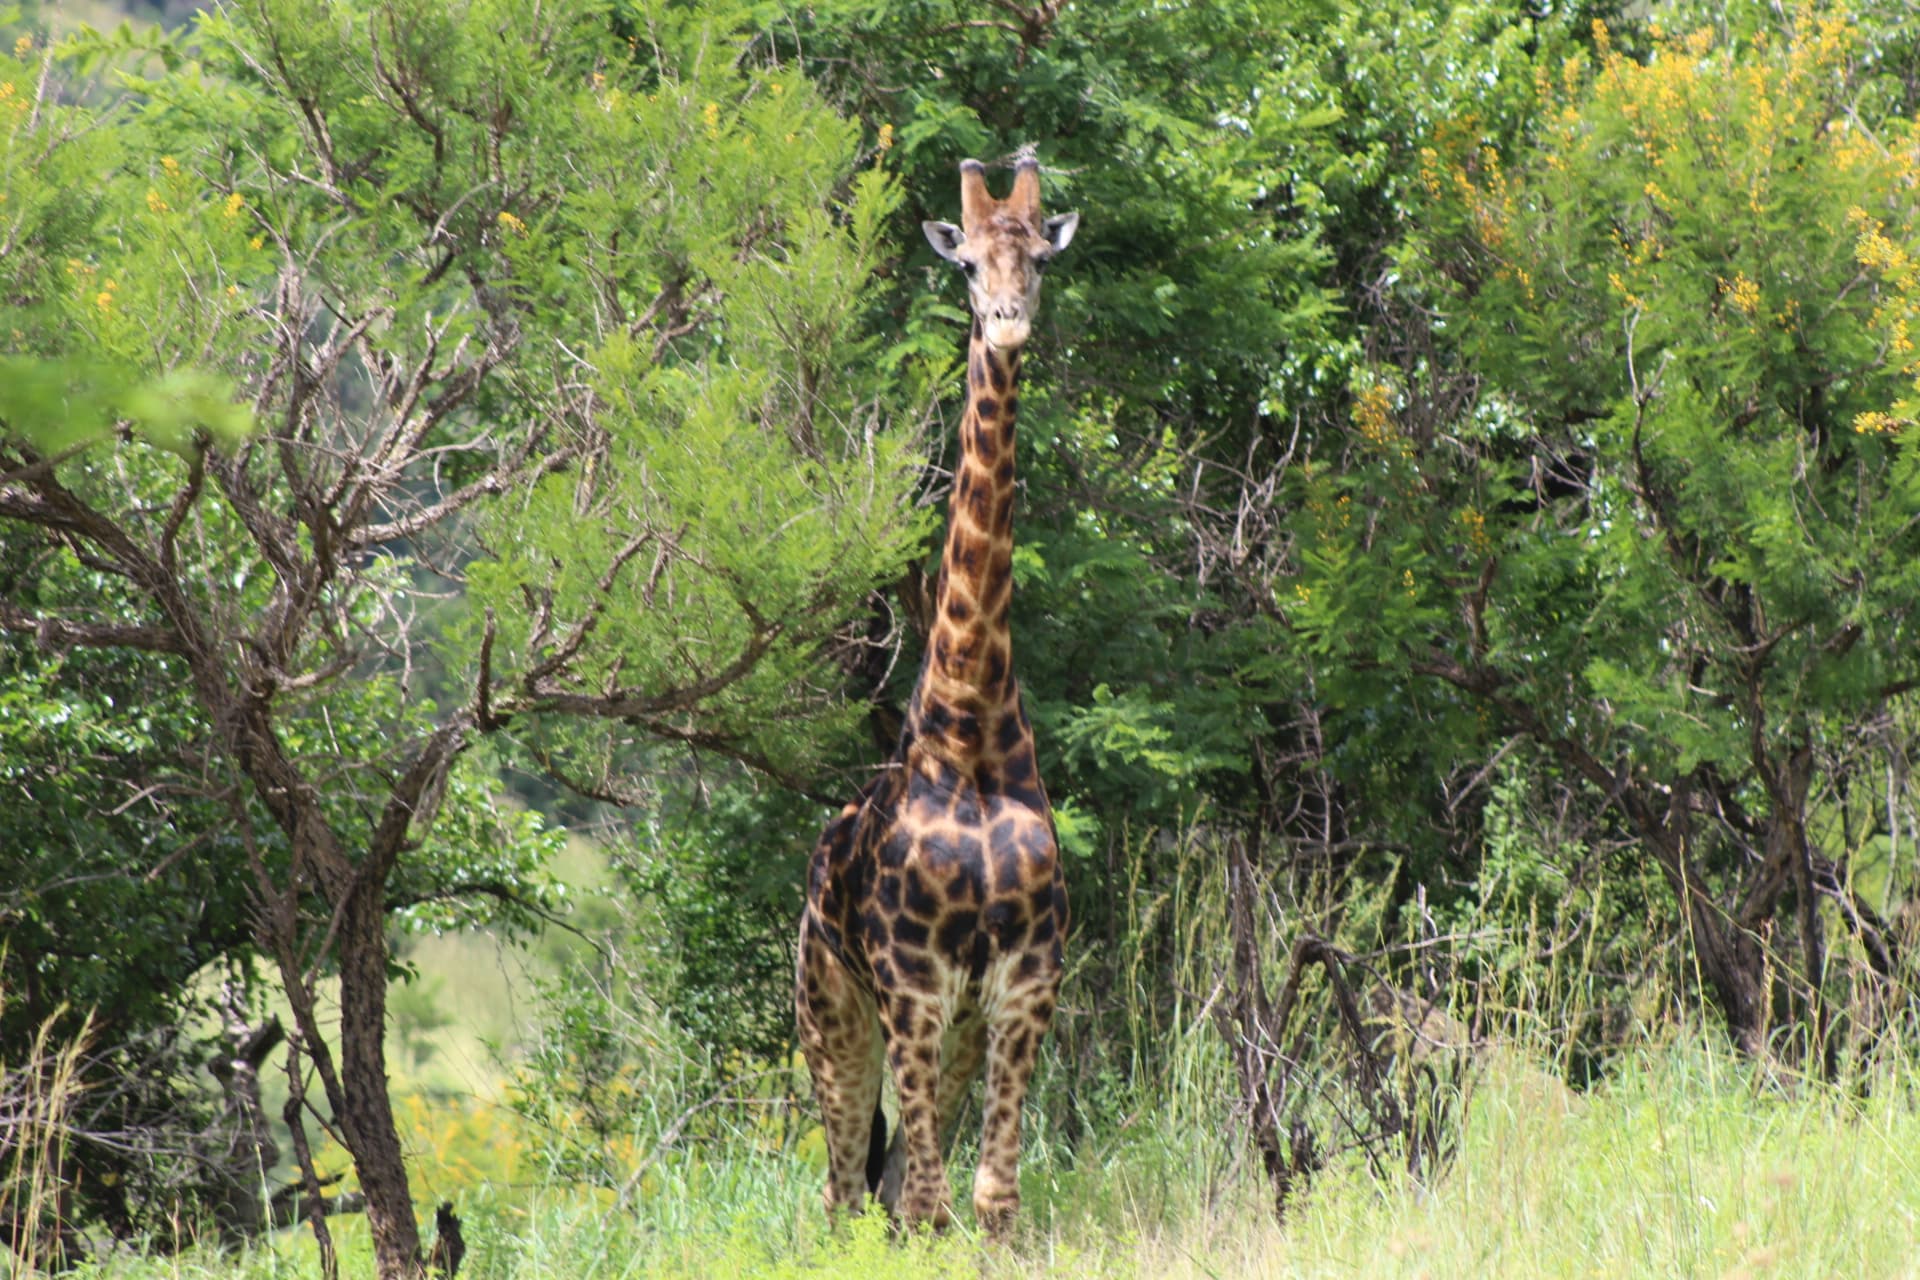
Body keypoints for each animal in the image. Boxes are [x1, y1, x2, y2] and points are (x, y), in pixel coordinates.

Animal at [795, 153, 1078, 1239]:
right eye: (966, 265)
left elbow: (991, 1198)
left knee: (877, 1188)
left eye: (1040, 255)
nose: (1006, 322)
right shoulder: (910, 982)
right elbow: (928, 1201)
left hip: (945, 1026)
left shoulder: (1022, 978)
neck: (970, 718)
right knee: (844, 1191)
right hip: (830, 1011)